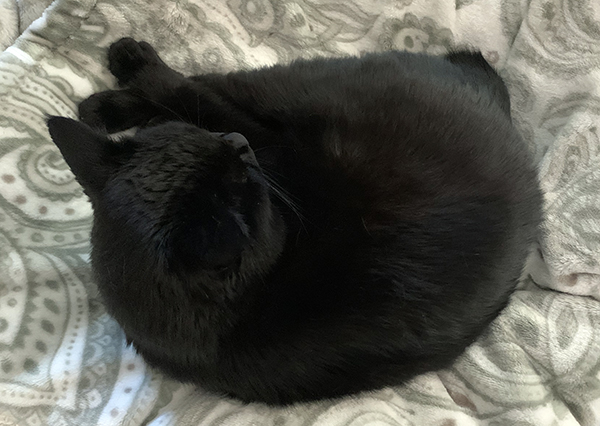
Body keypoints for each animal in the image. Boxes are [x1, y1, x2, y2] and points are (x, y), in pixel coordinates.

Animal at [48, 39, 544, 406]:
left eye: (205, 142)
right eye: (238, 181)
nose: (235, 143)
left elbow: (188, 101)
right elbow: (189, 92)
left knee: (200, 87)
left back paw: (106, 97)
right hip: (296, 87)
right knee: (202, 85)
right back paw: (126, 71)